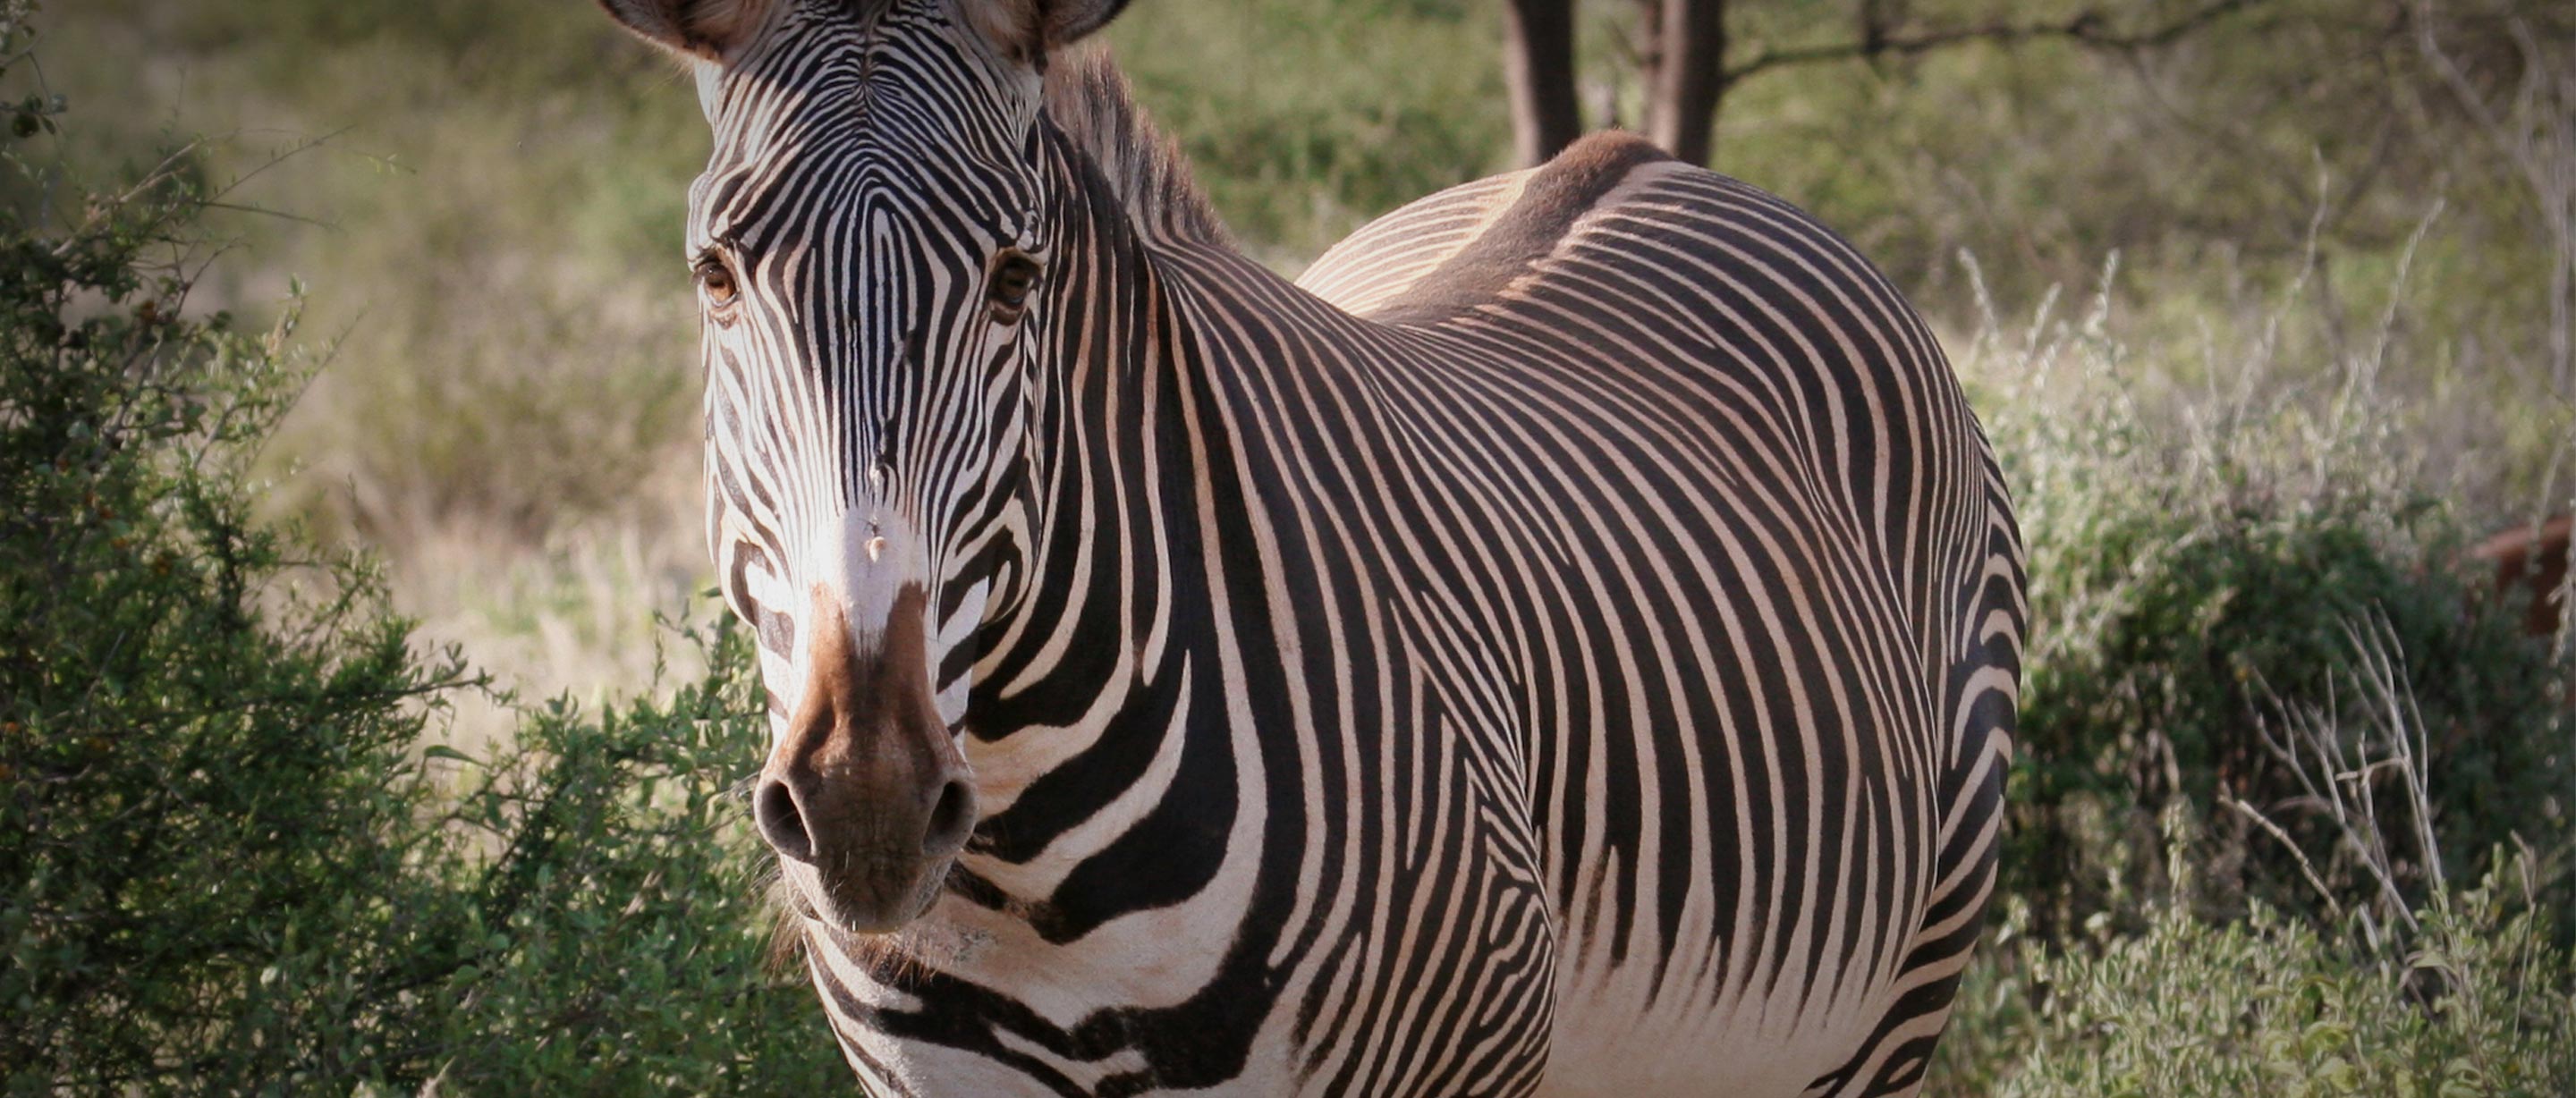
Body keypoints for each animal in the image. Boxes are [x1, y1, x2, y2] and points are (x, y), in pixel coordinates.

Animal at [595, 1, 2026, 1094]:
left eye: (1014, 279)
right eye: (716, 276)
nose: (866, 800)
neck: (1031, 868)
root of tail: (1657, 160)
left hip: (1896, 998)